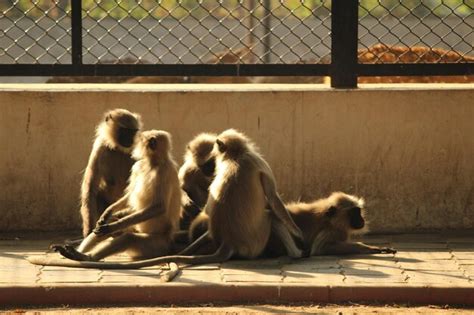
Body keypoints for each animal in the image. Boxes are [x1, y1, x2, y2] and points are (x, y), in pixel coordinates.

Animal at [79, 108, 143, 237]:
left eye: (132, 132)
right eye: (125, 131)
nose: (130, 139)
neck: (118, 149)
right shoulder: (100, 147)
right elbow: (90, 188)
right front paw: (88, 230)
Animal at [264, 191, 394, 258]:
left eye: (358, 211)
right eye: (354, 213)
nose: (361, 219)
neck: (329, 219)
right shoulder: (331, 231)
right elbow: (320, 248)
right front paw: (370, 248)